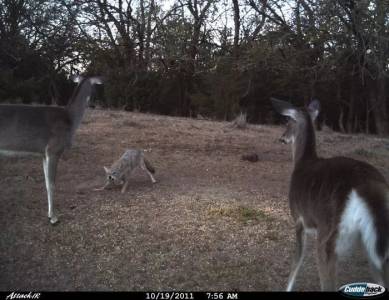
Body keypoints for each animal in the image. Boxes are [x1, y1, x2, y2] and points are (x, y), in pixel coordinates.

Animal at [0, 76, 101, 224]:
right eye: (96, 88)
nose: (96, 104)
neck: (70, 119)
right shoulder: (54, 149)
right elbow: (52, 184)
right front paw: (54, 218)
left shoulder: (44, 153)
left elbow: (47, 183)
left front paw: (49, 214)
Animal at [270, 98, 388, 290]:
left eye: (288, 121)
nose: (282, 138)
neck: (302, 162)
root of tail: (365, 185)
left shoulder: (298, 218)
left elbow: (297, 260)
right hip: (374, 244)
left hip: (328, 234)